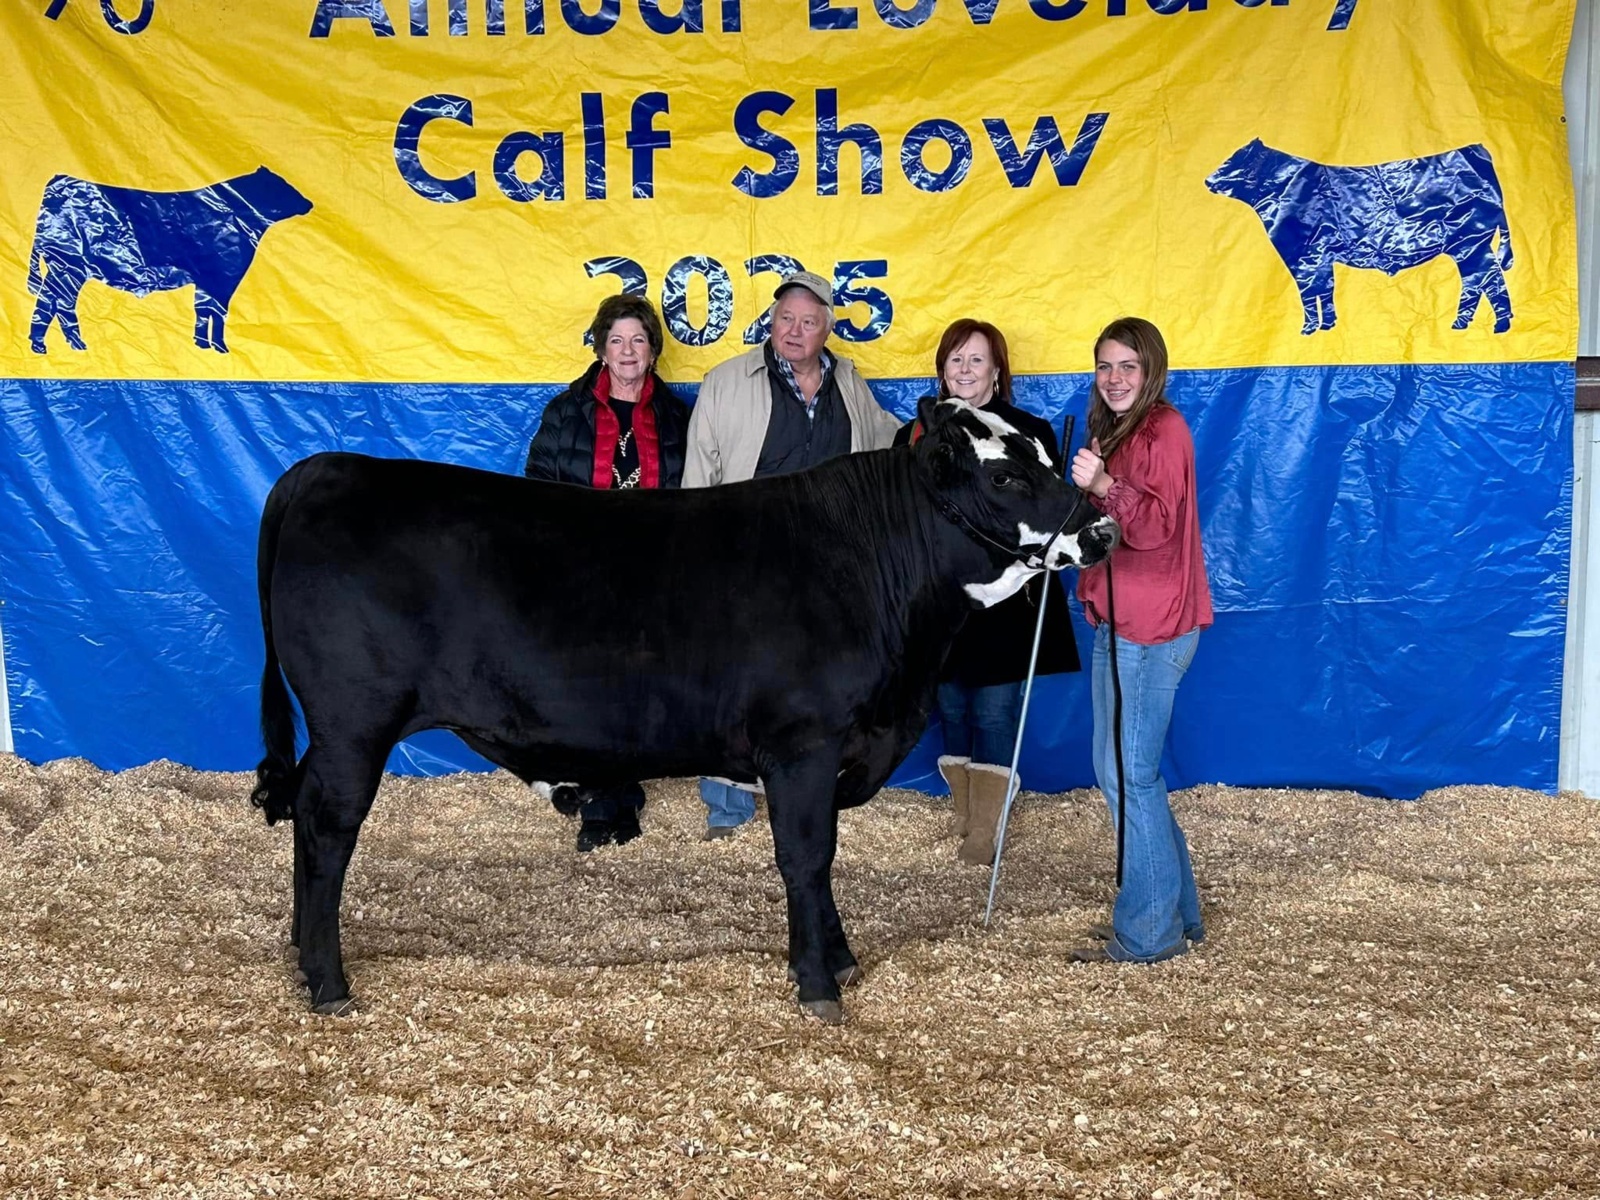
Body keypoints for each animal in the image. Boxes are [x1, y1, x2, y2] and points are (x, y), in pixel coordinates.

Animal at [27, 166, 312, 354]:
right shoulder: (223, 280)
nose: (309, 203)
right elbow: (217, 313)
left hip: (64, 267)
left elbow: (203, 311)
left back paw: (44, 343)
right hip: (70, 266)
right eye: (280, 185)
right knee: (58, 302)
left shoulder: (207, 283)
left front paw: (201, 344)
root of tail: (60, 179)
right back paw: (68, 343)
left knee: (50, 299)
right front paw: (220, 347)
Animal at [250, 398, 1119, 1024]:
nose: (1104, 527)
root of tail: (327, 468)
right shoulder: (801, 745)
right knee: (327, 827)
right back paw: (328, 981)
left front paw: (837, 958)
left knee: (304, 813)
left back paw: (299, 953)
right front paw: (818, 983)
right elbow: (807, 858)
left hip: (336, 730)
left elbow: (820, 862)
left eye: (1050, 453)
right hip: (355, 722)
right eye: (1003, 477)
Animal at [1205, 140, 1513, 335]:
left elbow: (1308, 295)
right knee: (1481, 281)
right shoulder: (1320, 259)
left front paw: (1308, 329)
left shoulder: (1303, 257)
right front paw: (1327, 326)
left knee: (1488, 280)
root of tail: (1476, 149)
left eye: (1234, 159)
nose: (1207, 180)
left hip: (1471, 241)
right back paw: (1471, 323)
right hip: (1472, 246)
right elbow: (1326, 292)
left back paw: (1496, 324)